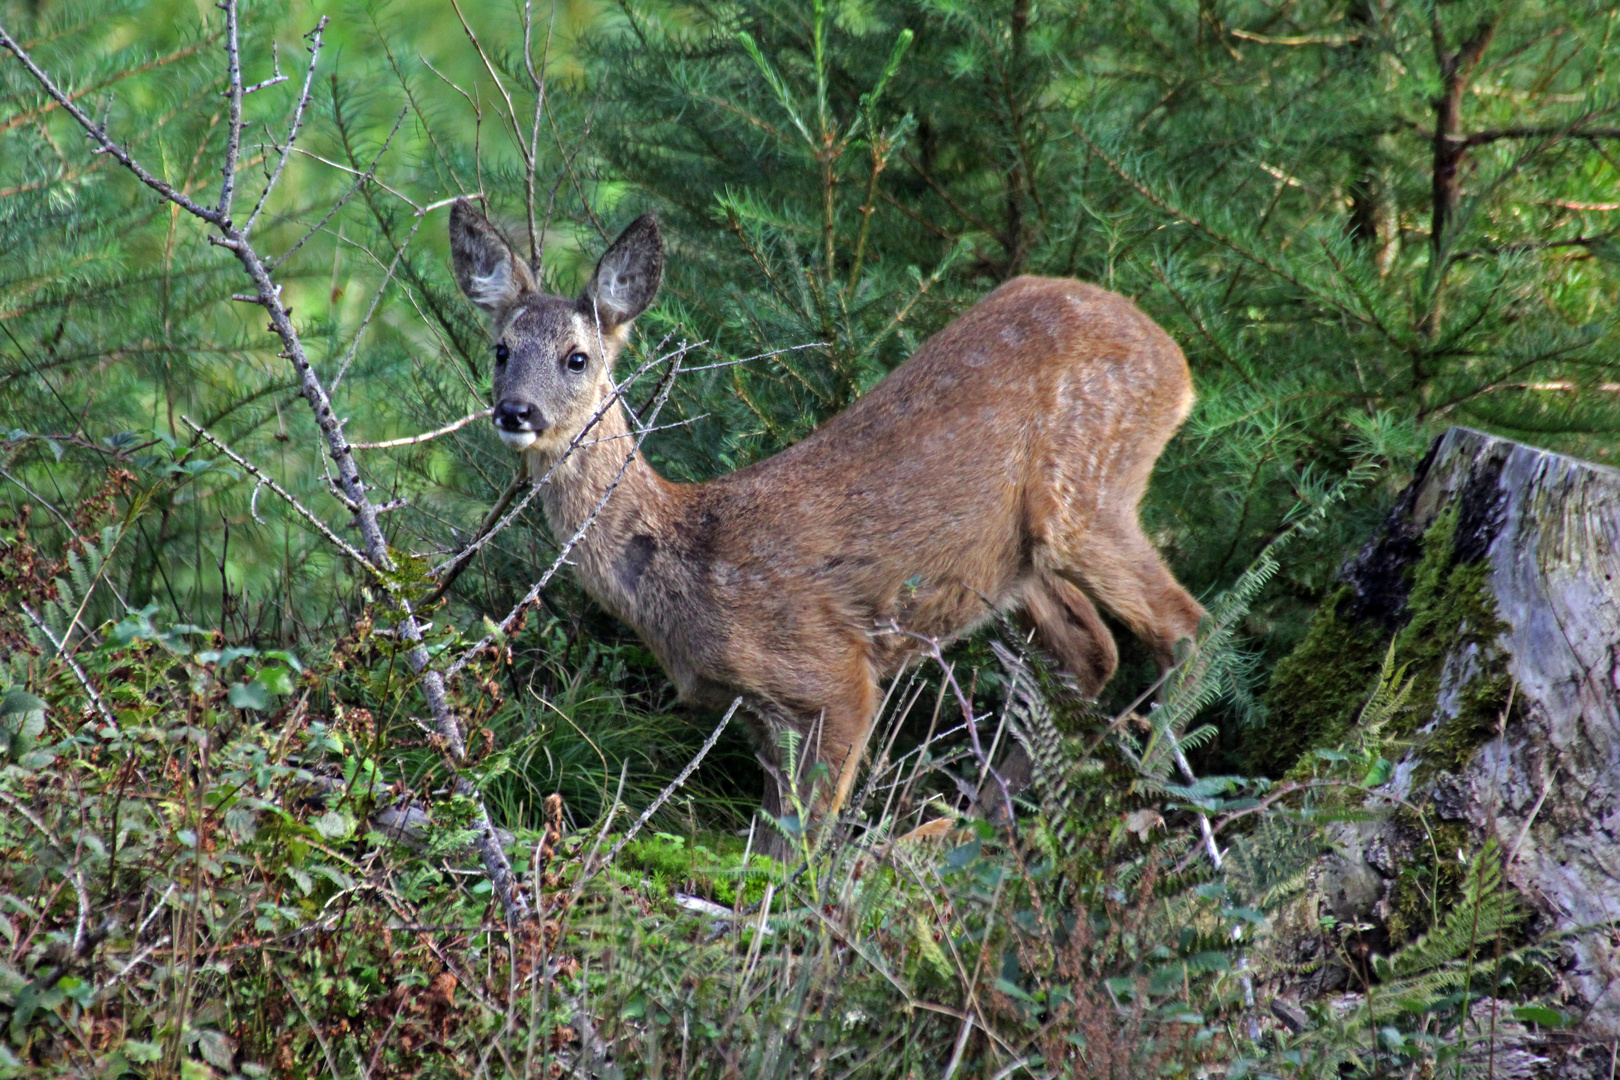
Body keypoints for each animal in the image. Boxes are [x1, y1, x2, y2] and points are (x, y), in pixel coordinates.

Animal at [443, 202, 1205, 835]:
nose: (516, 411)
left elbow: (800, 846)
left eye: (577, 358)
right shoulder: (758, 716)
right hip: (1010, 561)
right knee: (1090, 647)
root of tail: (1176, 360)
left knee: (1184, 627)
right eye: (500, 350)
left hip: (1086, 492)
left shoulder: (830, 673)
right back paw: (979, 825)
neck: (681, 554)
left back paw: (1155, 801)